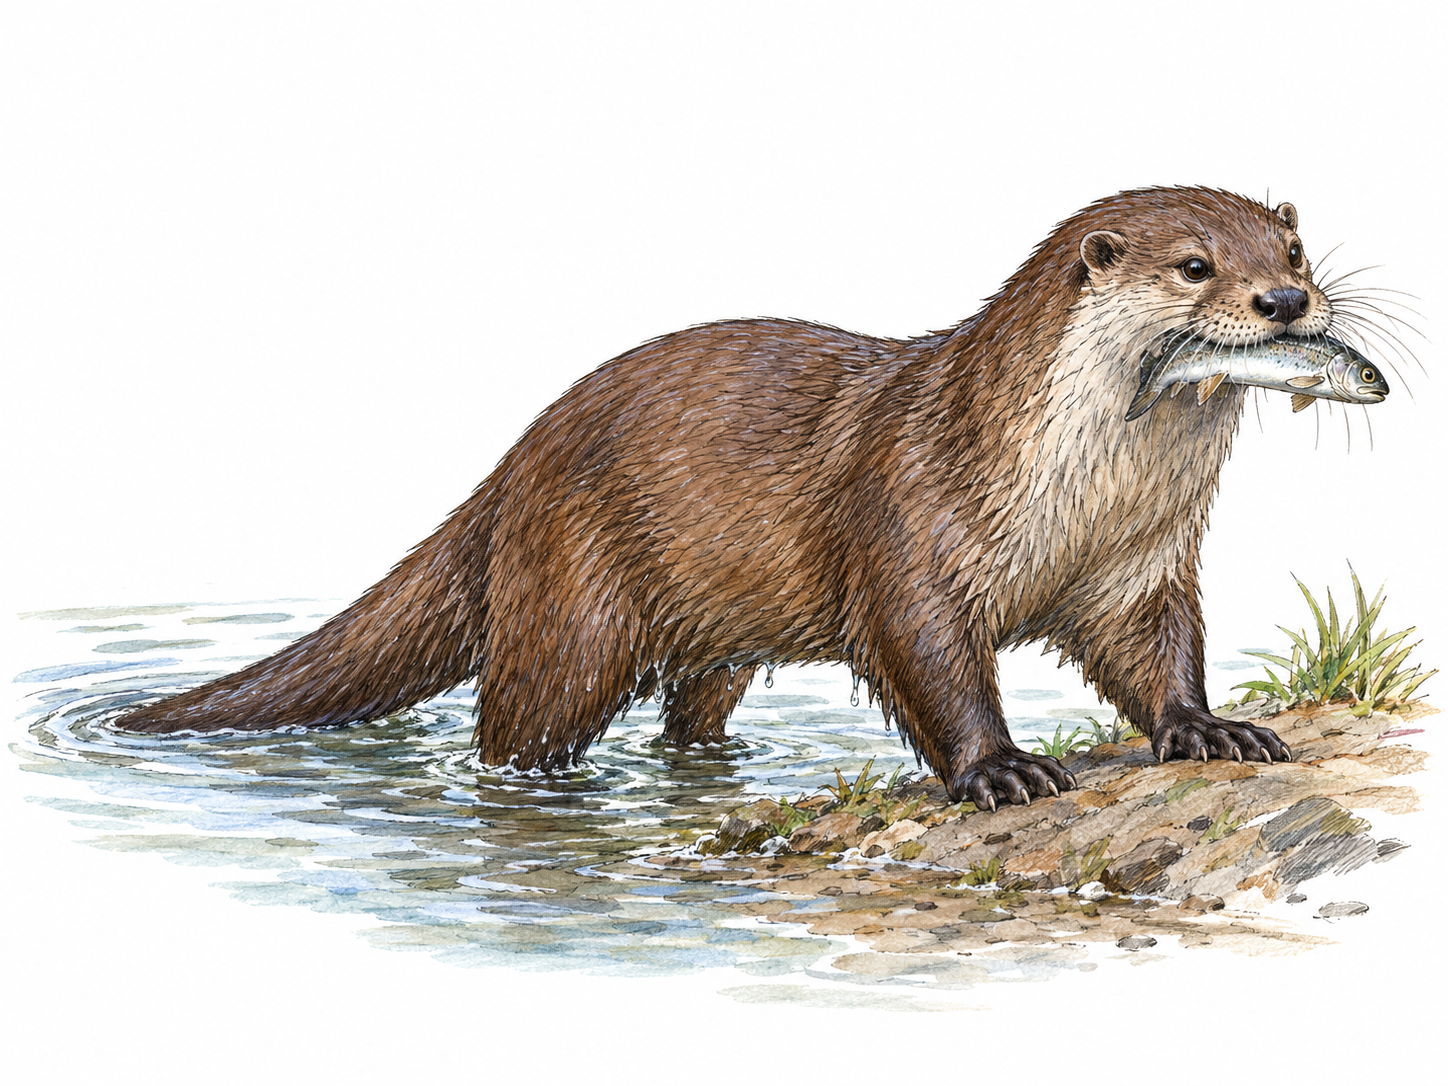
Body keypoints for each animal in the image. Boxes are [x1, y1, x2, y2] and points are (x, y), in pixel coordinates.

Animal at [119, 186, 1317, 809]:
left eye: (1294, 246)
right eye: (1194, 264)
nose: (1286, 300)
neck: (1074, 505)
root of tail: (511, 464)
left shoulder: (1141, 566)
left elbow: (1157, 654)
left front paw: (1208, 728)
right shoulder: (908, 522)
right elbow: (930, 661)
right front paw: (1001, 771)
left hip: (707, 636)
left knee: (686, 710)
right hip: (570, 604)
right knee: (515, 723)